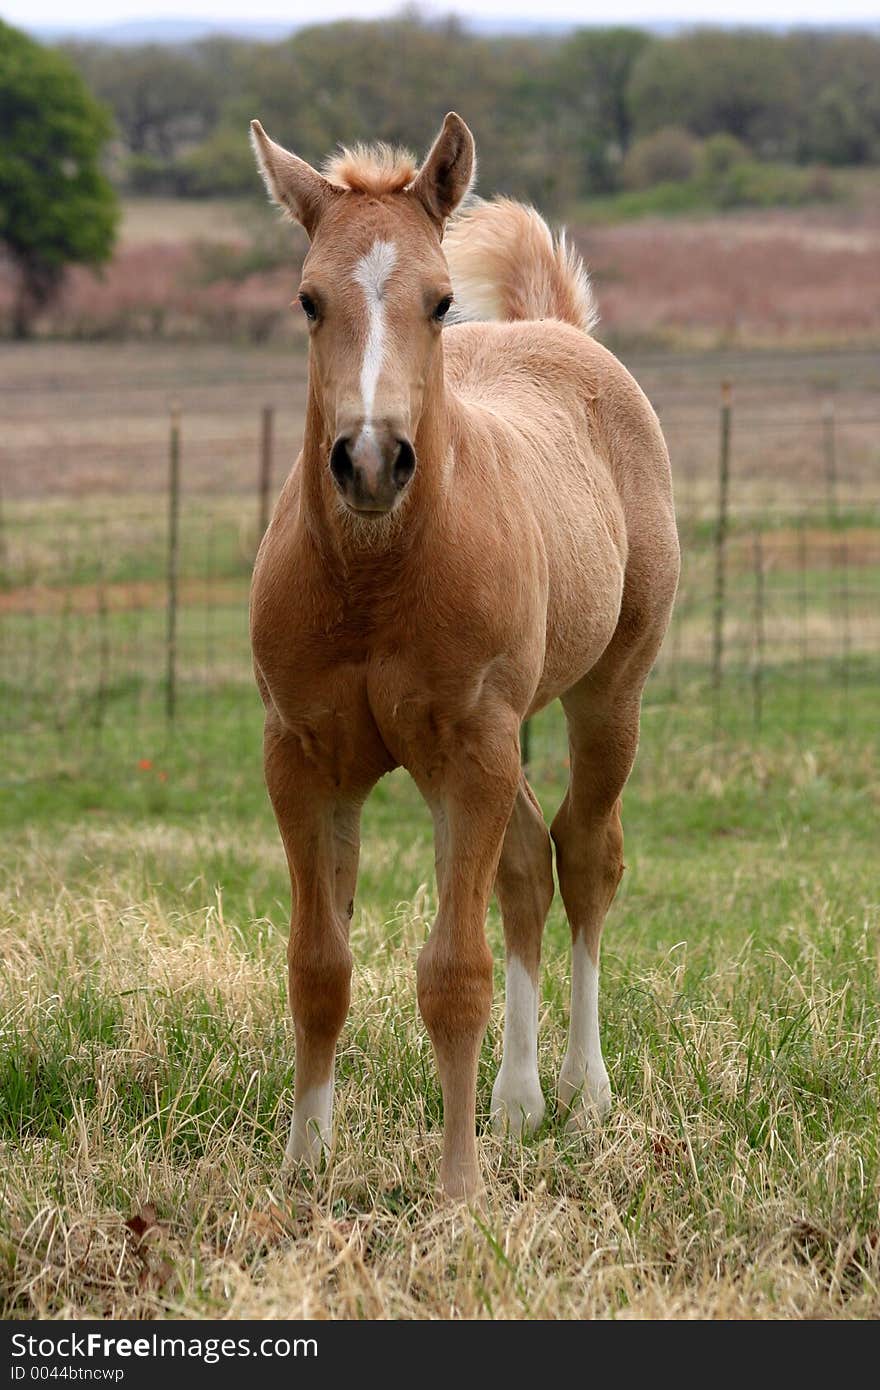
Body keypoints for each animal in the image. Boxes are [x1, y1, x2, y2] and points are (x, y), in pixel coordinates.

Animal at [248, 113, 678, 1200]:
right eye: (308, 300)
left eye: (439, 301)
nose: (368, 460)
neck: (374, 581)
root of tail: (559, 330)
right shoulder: (303, 757)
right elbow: (319, 967)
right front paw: (304, 1164)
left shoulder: (467, 751)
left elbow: (453, 976)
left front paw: (457, 1190)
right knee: (525, 864)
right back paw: (517, 1103)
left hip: (605, 696)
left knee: (585, 855)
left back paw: (581, 1091)